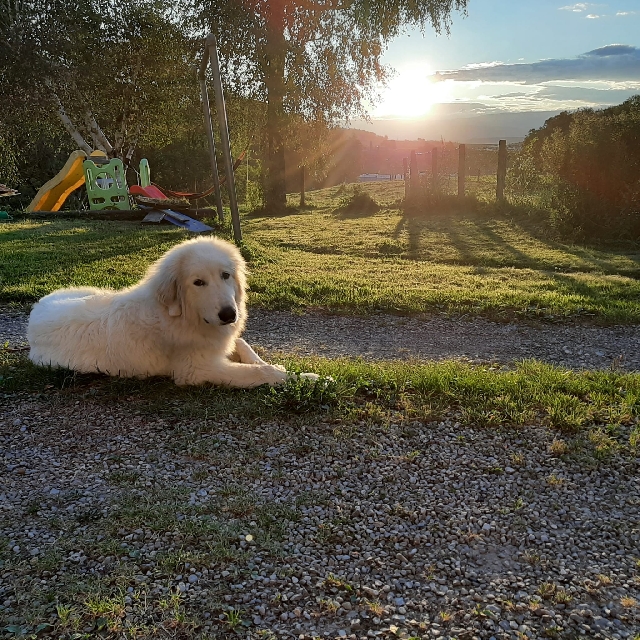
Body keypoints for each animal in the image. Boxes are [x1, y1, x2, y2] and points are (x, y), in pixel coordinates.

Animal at [28, 235, 318, 384]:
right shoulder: (197, 370)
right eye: (198, 282)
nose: (229, 314)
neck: (185, 316)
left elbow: (244, 346)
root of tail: (35, 313)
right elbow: (260, 371)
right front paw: (311, 377)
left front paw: (275, 364)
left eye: (225, 275)